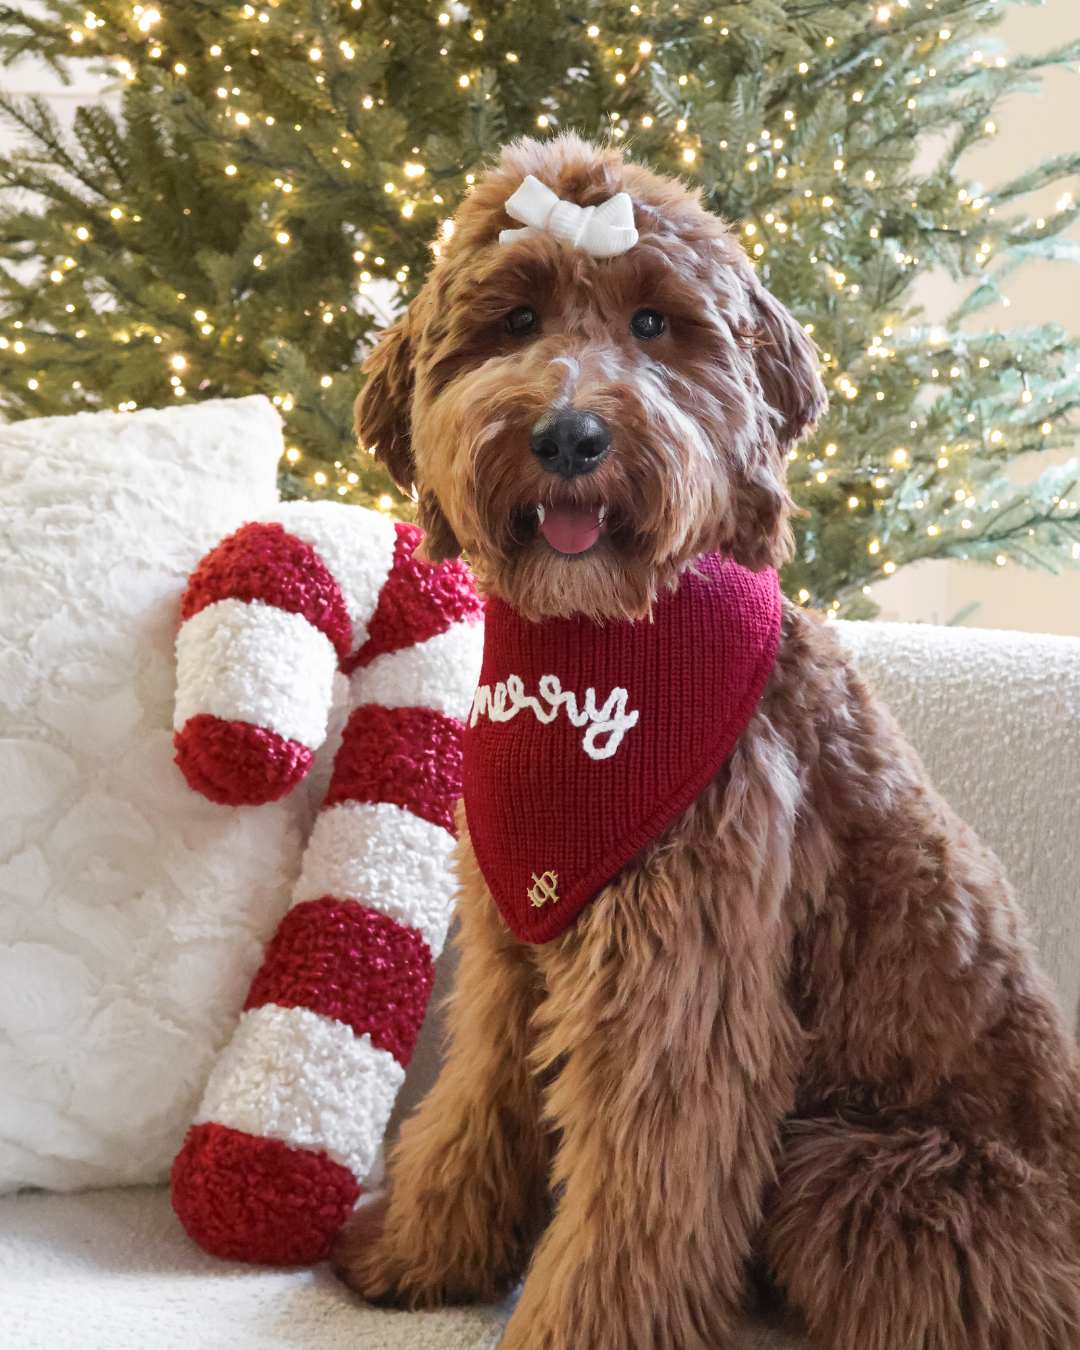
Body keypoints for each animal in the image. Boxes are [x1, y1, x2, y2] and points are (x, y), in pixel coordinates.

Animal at [333, 128, 1080, 1350]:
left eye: (653, 324)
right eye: (516, 320)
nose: (571, 435)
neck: (602, 647)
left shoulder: (683, 979)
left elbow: (643, 1194)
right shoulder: (510, 942)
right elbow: (475, 1101)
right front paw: (417, 1250)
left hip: (866, 1175)